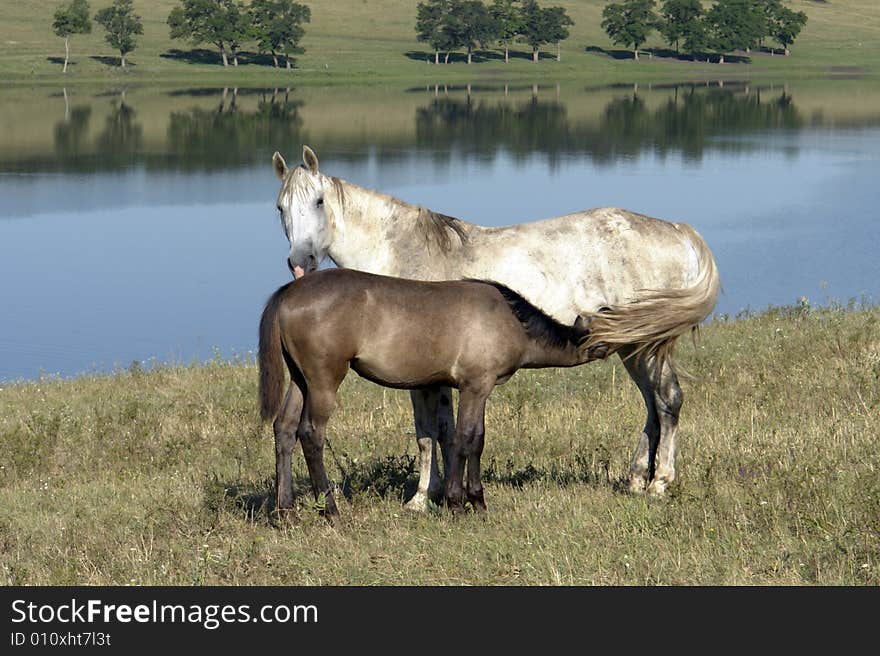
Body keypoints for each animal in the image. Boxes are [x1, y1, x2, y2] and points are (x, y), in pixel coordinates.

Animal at [272, 147, 720, 508]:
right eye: (280, 208)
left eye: (319, 201)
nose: (300, 262)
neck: (402, 254)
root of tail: (678, 232)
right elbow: (441, 432)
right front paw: (439, 494)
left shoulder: (427, 377)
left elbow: (431, 432)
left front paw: (424, 498)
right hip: (629, 346)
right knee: (652, 405)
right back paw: (636, 480)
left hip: (647, 346)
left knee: (668, 401)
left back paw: (660, 483)